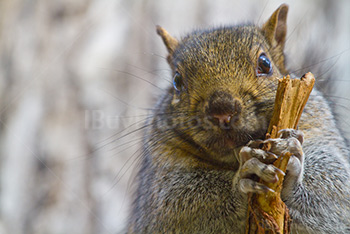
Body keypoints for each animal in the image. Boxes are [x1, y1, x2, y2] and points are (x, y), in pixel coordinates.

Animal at [127, 4, 350, 234]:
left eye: (265, 63)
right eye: (177, 81)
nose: (222, 111)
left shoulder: (319, 127)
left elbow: (338, 191)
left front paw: (290, 158)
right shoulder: (160, 178)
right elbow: (175, 204)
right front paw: (243, 179)